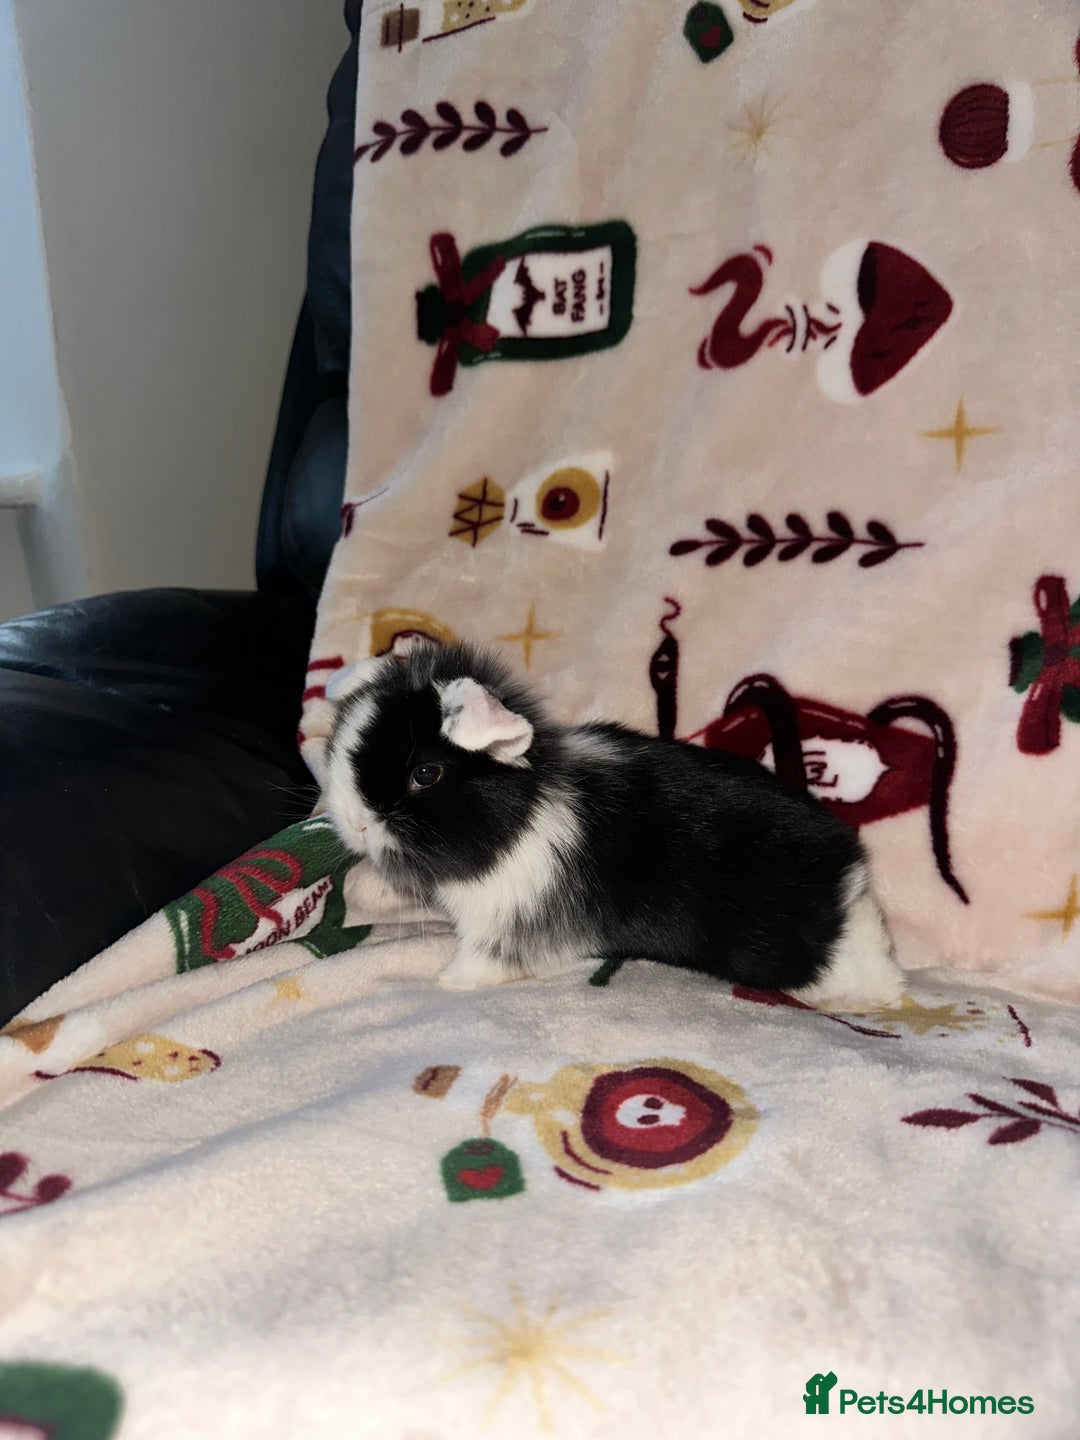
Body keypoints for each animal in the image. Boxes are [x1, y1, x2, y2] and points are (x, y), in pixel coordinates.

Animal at [322, 635, 905, 1013]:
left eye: (425, 773)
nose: (355, 824)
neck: (523, 814)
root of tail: (848, 871)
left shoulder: (504, 927)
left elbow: (482, 962)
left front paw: (449, 983)